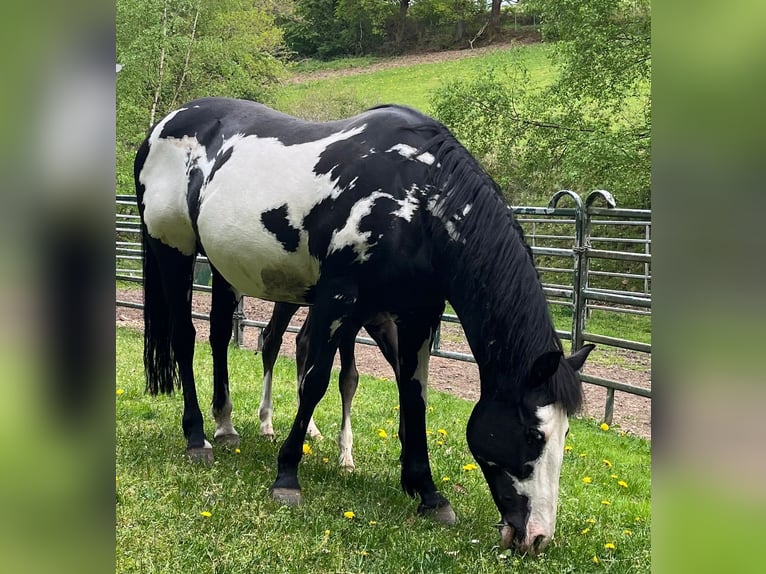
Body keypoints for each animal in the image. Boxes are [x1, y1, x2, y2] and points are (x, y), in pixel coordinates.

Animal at [258, 303, 398, 470]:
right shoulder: (349, 324)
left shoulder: (388, 324)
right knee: (271, 340)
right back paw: (266, 425)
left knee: (302, 342)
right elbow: (348, 378)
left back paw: (311, 429)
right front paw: (346, 456)